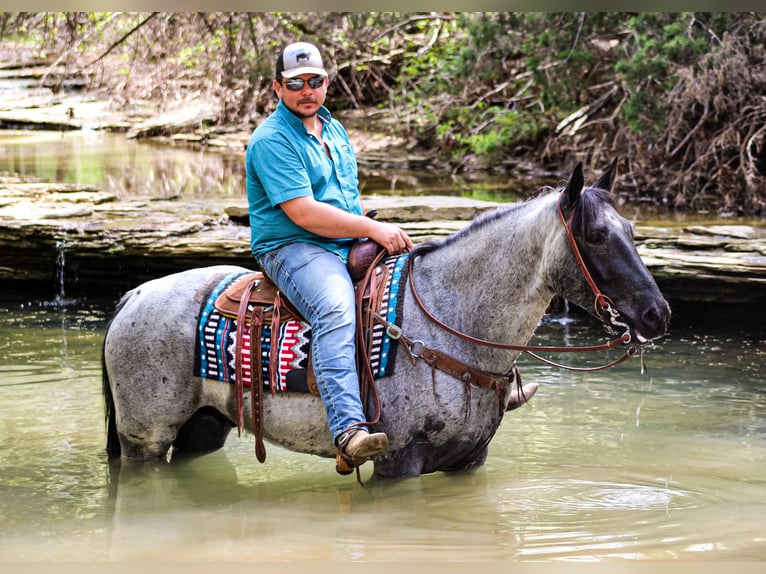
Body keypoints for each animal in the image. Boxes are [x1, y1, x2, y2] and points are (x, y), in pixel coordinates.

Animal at [102, 161, 672, 482]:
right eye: (595, 236)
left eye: (631, 229)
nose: (657, 313)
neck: (451, 322)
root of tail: (132, 297)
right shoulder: (400, 463)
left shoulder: (470, 462)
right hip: (144, 439)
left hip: (203, 426)